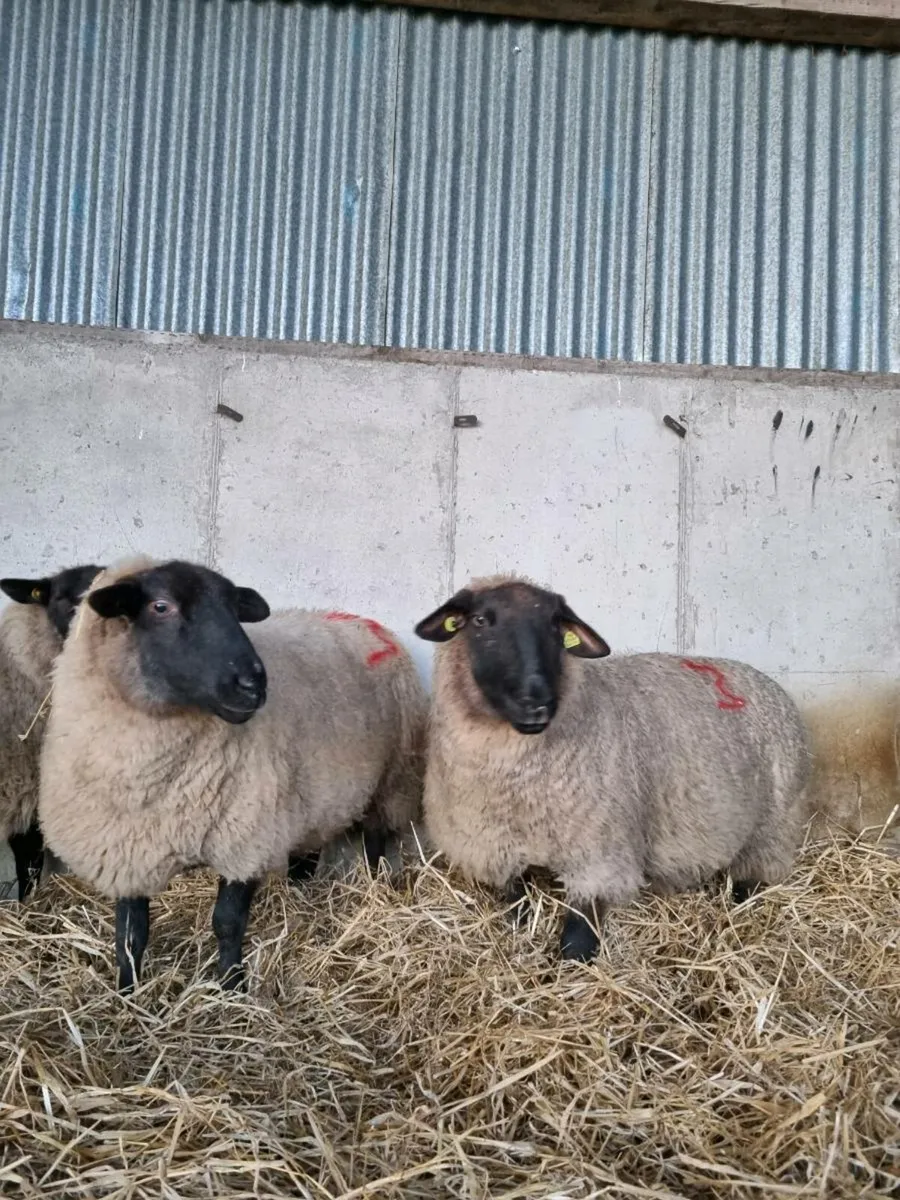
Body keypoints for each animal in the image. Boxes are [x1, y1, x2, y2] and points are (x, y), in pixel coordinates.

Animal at [39, 557, 427, 991]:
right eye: (161, 607)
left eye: (233, 607)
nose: (252, 683)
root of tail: (358, 619)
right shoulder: (128, 847)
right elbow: (129, 932)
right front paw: (127, 989)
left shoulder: (245, 838)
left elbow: (227, 922)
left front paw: (230, 985)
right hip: (312, 792)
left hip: (392, 780)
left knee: (376, 841)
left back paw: (378, 886)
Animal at [415, 576, 811, 962]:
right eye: (480, 620)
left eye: (556, 625)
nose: (537, 703)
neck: (519, 790)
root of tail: (764, 680)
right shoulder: (493, 846)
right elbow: (517, 904)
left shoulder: (598, 850)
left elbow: (578, 932)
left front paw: (572, 963)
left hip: (773, 824)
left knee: (755, 872)